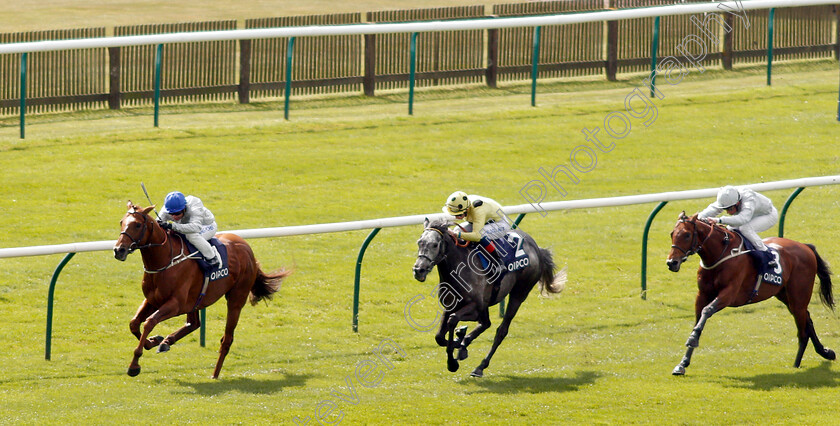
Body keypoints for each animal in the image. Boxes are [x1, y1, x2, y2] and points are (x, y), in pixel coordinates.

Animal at [113, 203, 292, 380]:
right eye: (121, 222)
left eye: (137, 225)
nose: (118, 250)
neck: (165, 260)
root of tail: (248, 249)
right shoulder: (153, 300)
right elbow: (134, 323)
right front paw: (154, 340)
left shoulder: (175, 304)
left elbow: (149, 322)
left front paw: (134, 365)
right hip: (195, 301)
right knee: (194, 323)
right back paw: (166, 342)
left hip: (236, 299)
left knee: (227, 339)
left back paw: (215, 374)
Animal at [412, 218, 568, 378]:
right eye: (419, 242)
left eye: (435, 244)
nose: (419, 270)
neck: (458, 269)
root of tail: (537, 248)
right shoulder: (451, 306)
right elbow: (439, 337)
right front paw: (460, 340)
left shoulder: (476, 306)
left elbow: (453, 320)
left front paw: (453, 361)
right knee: (486, 323)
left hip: (519, 294)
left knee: (501, 331)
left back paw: (480, 366)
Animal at [664, 211, 832, 374]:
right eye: (672, 233)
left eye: (687, 235)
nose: (672, 263)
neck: (720, 254)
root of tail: (805, 246)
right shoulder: (703, 295)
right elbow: (698, 319)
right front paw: (682, 363)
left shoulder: (729, 294)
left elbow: (706, 311)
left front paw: (692, 339)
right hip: (785, 295)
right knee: (807, 319)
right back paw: (825, 352)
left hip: (798, 297)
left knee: (803, 329)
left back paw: (797, 363)